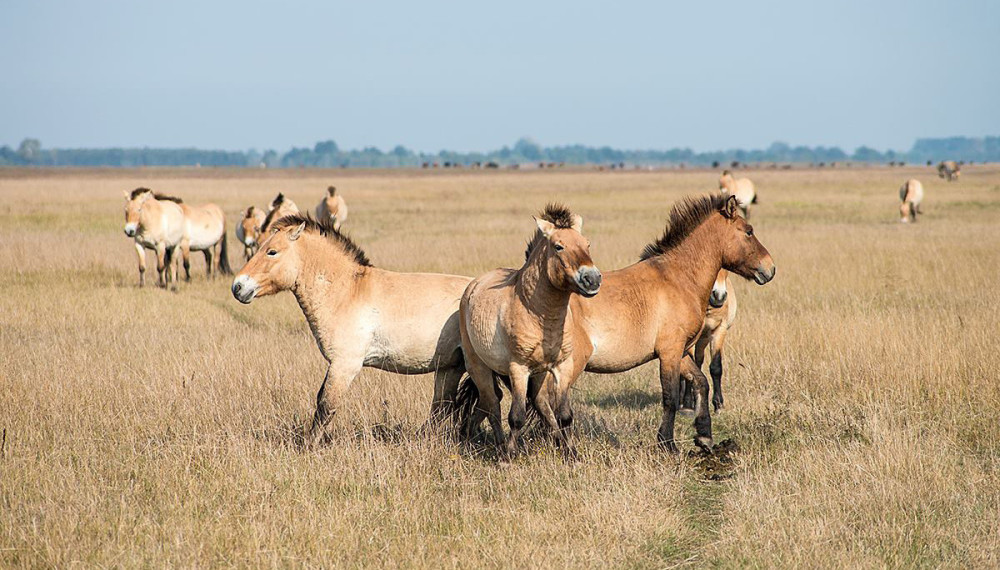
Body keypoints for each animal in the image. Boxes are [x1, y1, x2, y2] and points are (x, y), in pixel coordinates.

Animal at [230, 212, 472, 444]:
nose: (238, 286)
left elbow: (326, 405)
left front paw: (309, 446)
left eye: (272, 252)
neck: (347, 291)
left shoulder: (344, 365)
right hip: (450, 367)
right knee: (440, 408)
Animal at [456, 204, 600, 458]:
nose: (592, 279)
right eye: (558, 246)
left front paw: (571, 453)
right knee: (492, 404)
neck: (541, 316)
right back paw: (500, 445)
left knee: (540, 404)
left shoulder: (562, 367)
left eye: (587, 244)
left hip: (539, 373)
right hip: (479, 367)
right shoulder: (519, 369)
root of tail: (472, 288)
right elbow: (516, 417)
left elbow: (564, 415)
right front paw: (508, 456)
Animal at [572, 193, 772, 450]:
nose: (770, 268)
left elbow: (701, 382)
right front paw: (667, 443)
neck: (678, 277)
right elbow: (671, 397)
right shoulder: (669, 352)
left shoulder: (682, 350)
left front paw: (704, 435)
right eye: (748, 231)